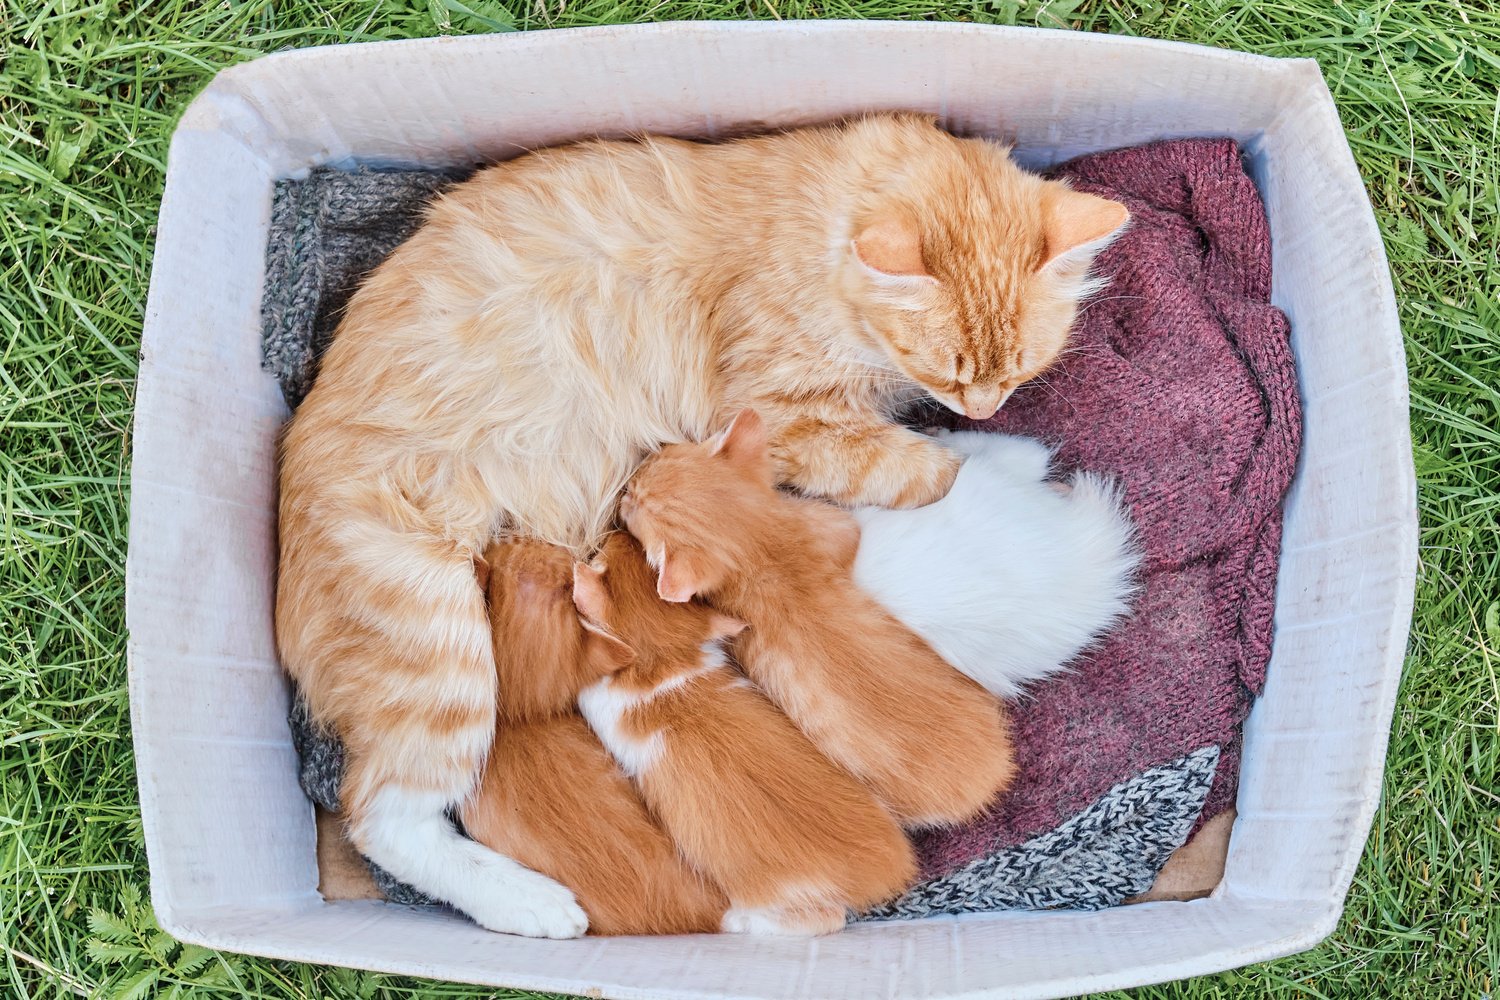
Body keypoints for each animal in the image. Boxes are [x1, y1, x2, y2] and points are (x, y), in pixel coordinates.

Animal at [567, 536, 912, 935]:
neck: (662, 664)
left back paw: (740, 921)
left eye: (601, 559)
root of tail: (885, 874)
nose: (617, 534)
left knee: (827, 919)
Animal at [621, 407, 1020, 827]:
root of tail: (990, 780)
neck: (760, 553)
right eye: (638, 484)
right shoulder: (829, 524)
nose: (625, 488)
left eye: (636, 496)